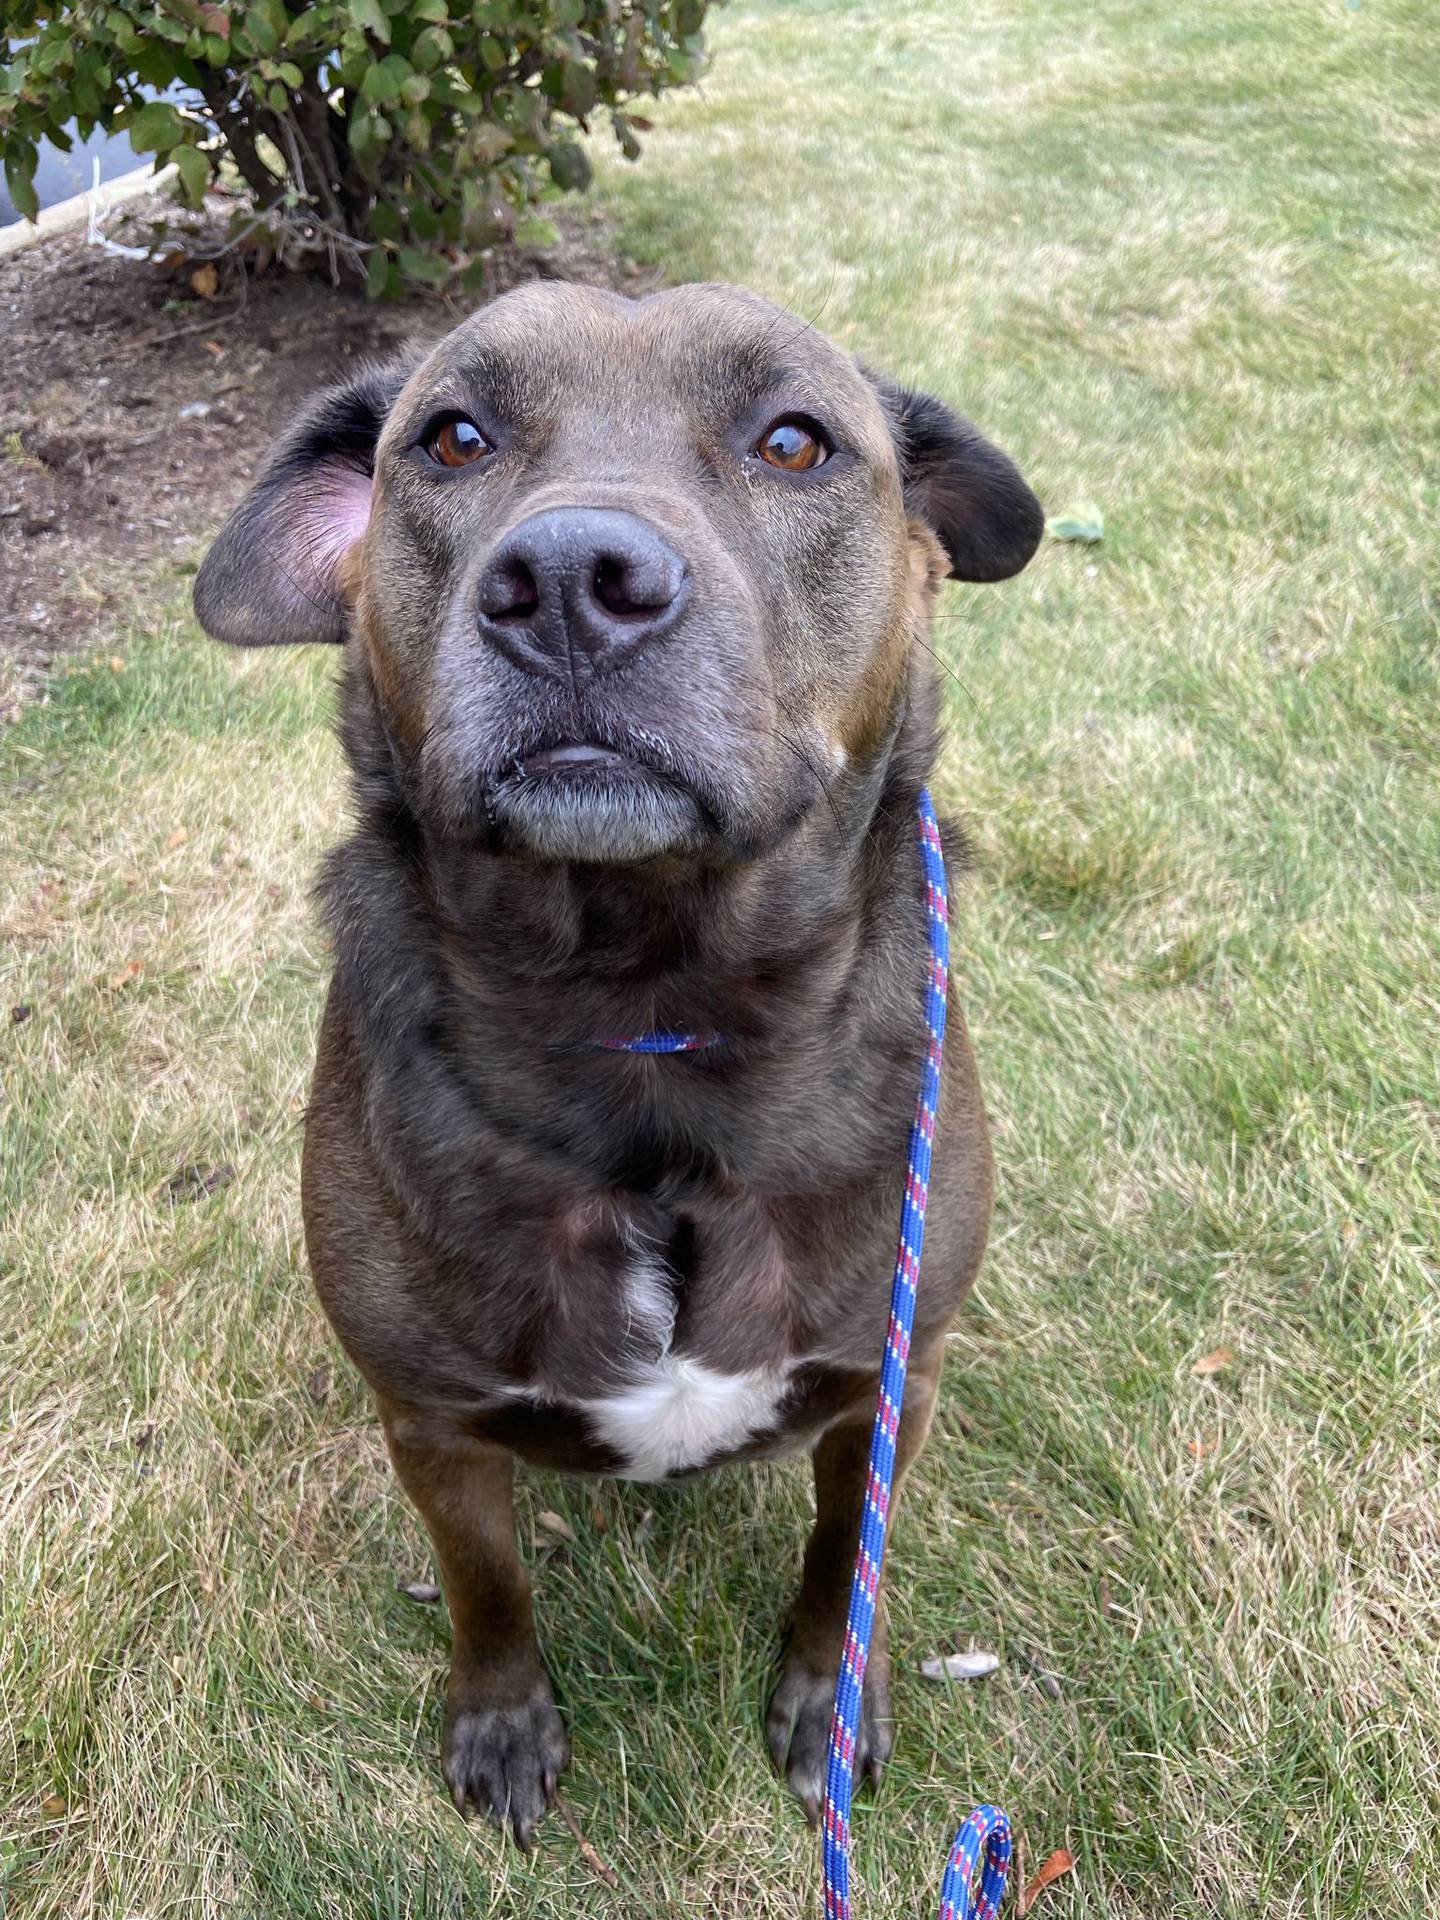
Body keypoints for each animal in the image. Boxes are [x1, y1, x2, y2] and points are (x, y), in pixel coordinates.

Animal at [197, 274, 1044, 1843]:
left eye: (794, 441)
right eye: (454, 437)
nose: (570, 582)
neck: (651, 1010)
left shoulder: (890, 1384)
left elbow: (842, 1563)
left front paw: (828, 1698)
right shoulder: (434, 1425)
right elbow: (486, 1584)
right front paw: (502, 1720)